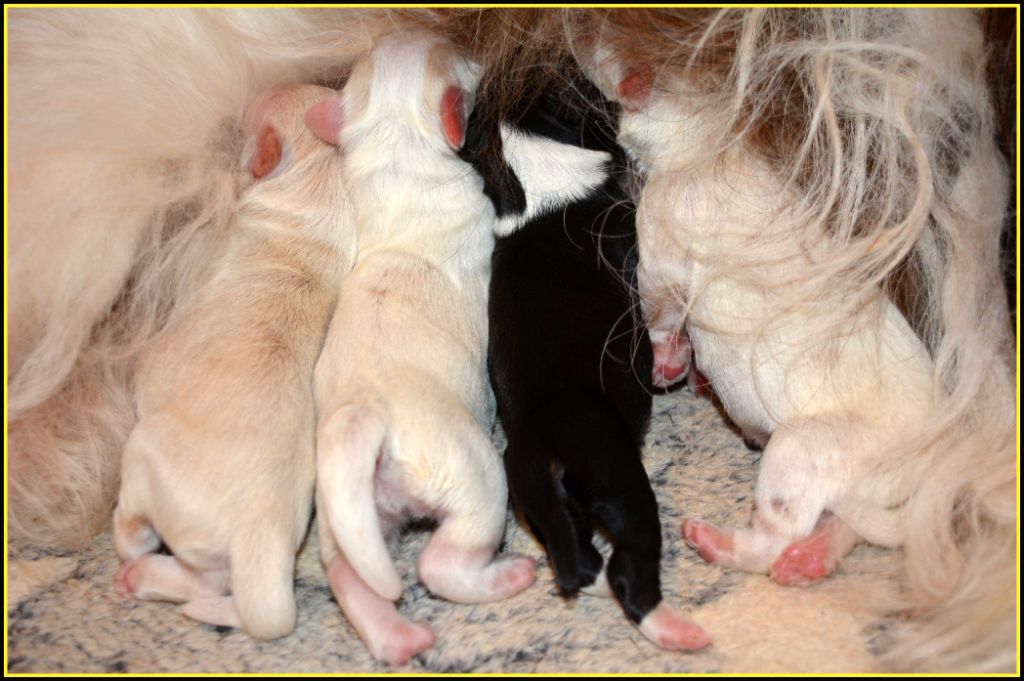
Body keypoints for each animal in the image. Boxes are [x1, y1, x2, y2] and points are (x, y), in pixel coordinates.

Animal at [112, 83, 356, 639]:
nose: (230, 115)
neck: (319, 186)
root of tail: (257, 537)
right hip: (223, 559)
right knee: (208, 584)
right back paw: (151, 582)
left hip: (142, 456)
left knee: (134, 528)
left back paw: (130, 565)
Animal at [307, 31, 536, 663]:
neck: (396, 153)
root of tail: (363, 418)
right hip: (472, 472)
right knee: (444, 561)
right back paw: (509, 575)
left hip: (346, 513)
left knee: (352, 577)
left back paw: (400, 637)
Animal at [458, 75, 708, 655]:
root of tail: (540, 445)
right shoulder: (633, 248)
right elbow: (659, 308)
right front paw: (672, 359)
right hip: (618, 479)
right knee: (627, 569)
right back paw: (679, 630)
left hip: (544, 504)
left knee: (582, 559)